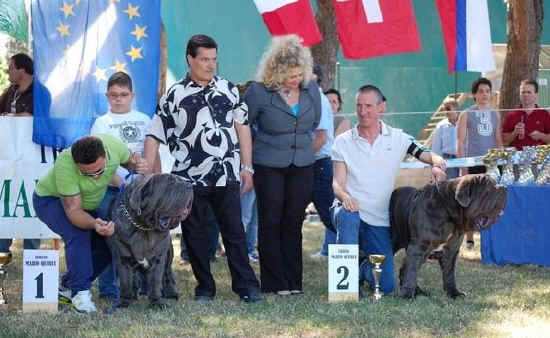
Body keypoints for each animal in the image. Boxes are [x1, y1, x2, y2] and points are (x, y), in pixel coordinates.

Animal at [110, 174, 194, 308]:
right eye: (170, 184)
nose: (190, 185)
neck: (143, 227)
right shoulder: (122, 258)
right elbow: (125, 282)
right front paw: (124, 302)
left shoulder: (158, 258)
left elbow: (155, 281)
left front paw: (157, 303)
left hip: (169, 254)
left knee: (167, 274)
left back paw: (171, 293)